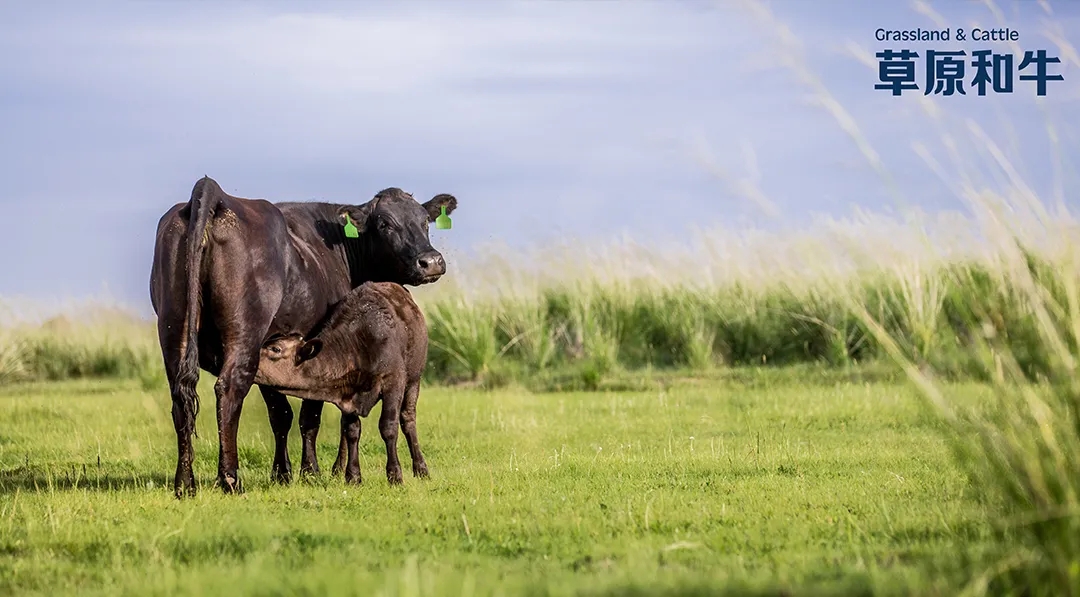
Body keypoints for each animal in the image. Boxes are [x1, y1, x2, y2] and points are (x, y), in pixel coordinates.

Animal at [257, 280, 429, 483]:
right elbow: (352, 430)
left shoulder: (393, 382)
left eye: (276, 349)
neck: (356, 347)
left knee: (407, 418)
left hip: (414, 379)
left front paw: (394, 475)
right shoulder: (347, 393)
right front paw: (353, 475)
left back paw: (421, 468)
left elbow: (388, 426)